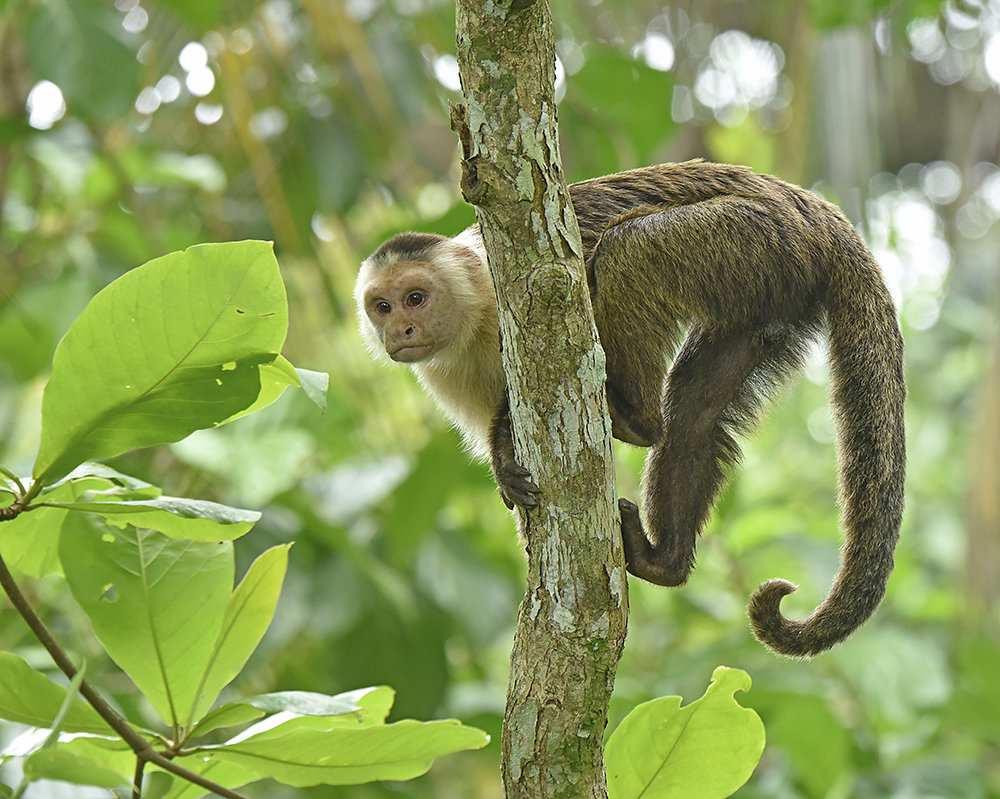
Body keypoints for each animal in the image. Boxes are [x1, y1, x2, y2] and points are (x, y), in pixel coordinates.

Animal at [356, 159, 904, 660]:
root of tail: (816, 209)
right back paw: (665, 559)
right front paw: (505, 463)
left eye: (416, 297)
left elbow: (576, 290)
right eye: (382, 307)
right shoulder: (447, 375)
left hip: (760, 238)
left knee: (630, 248)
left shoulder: (508, 285)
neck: (473, 317)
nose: (400, 330)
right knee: (694, 416)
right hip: (769, 288)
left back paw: (636, 418)